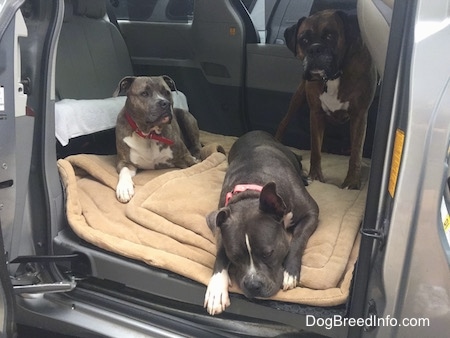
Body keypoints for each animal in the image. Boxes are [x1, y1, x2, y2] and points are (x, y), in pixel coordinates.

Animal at [206, 131, 318, 316]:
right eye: (234, 257)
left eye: (268, 254)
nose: (253, 285)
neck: (251, 191)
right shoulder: (220, 225)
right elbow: (220, 254)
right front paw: (216, 289)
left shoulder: (311, 213)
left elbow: (298, 240)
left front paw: (289, 272)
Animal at [274, 9, 376, 189]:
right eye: (304, 40)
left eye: (330, 36)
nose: (315, 49)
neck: (334, 77)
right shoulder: (316, 113)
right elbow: (315, 149)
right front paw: (315, 176)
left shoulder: (359, 115)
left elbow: (356, 152)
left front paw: (352, 182)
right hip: (297, 99)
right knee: (284, 122)